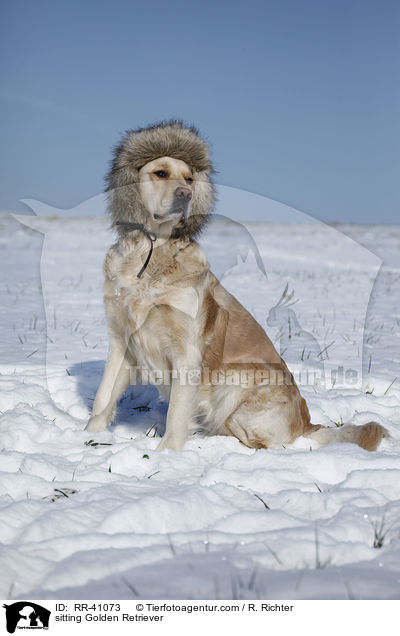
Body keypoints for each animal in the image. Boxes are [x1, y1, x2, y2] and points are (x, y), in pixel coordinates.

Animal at [86, 118, 388, 448]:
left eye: (189, 178)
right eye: (160, 173)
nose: (185, 193)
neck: (151, 254)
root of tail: (306, 424)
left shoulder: (187, 352)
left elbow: (176, 413)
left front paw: (168, 452)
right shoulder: (121, 340)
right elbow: (103, 396)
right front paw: (87, 436)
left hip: (237, 384)